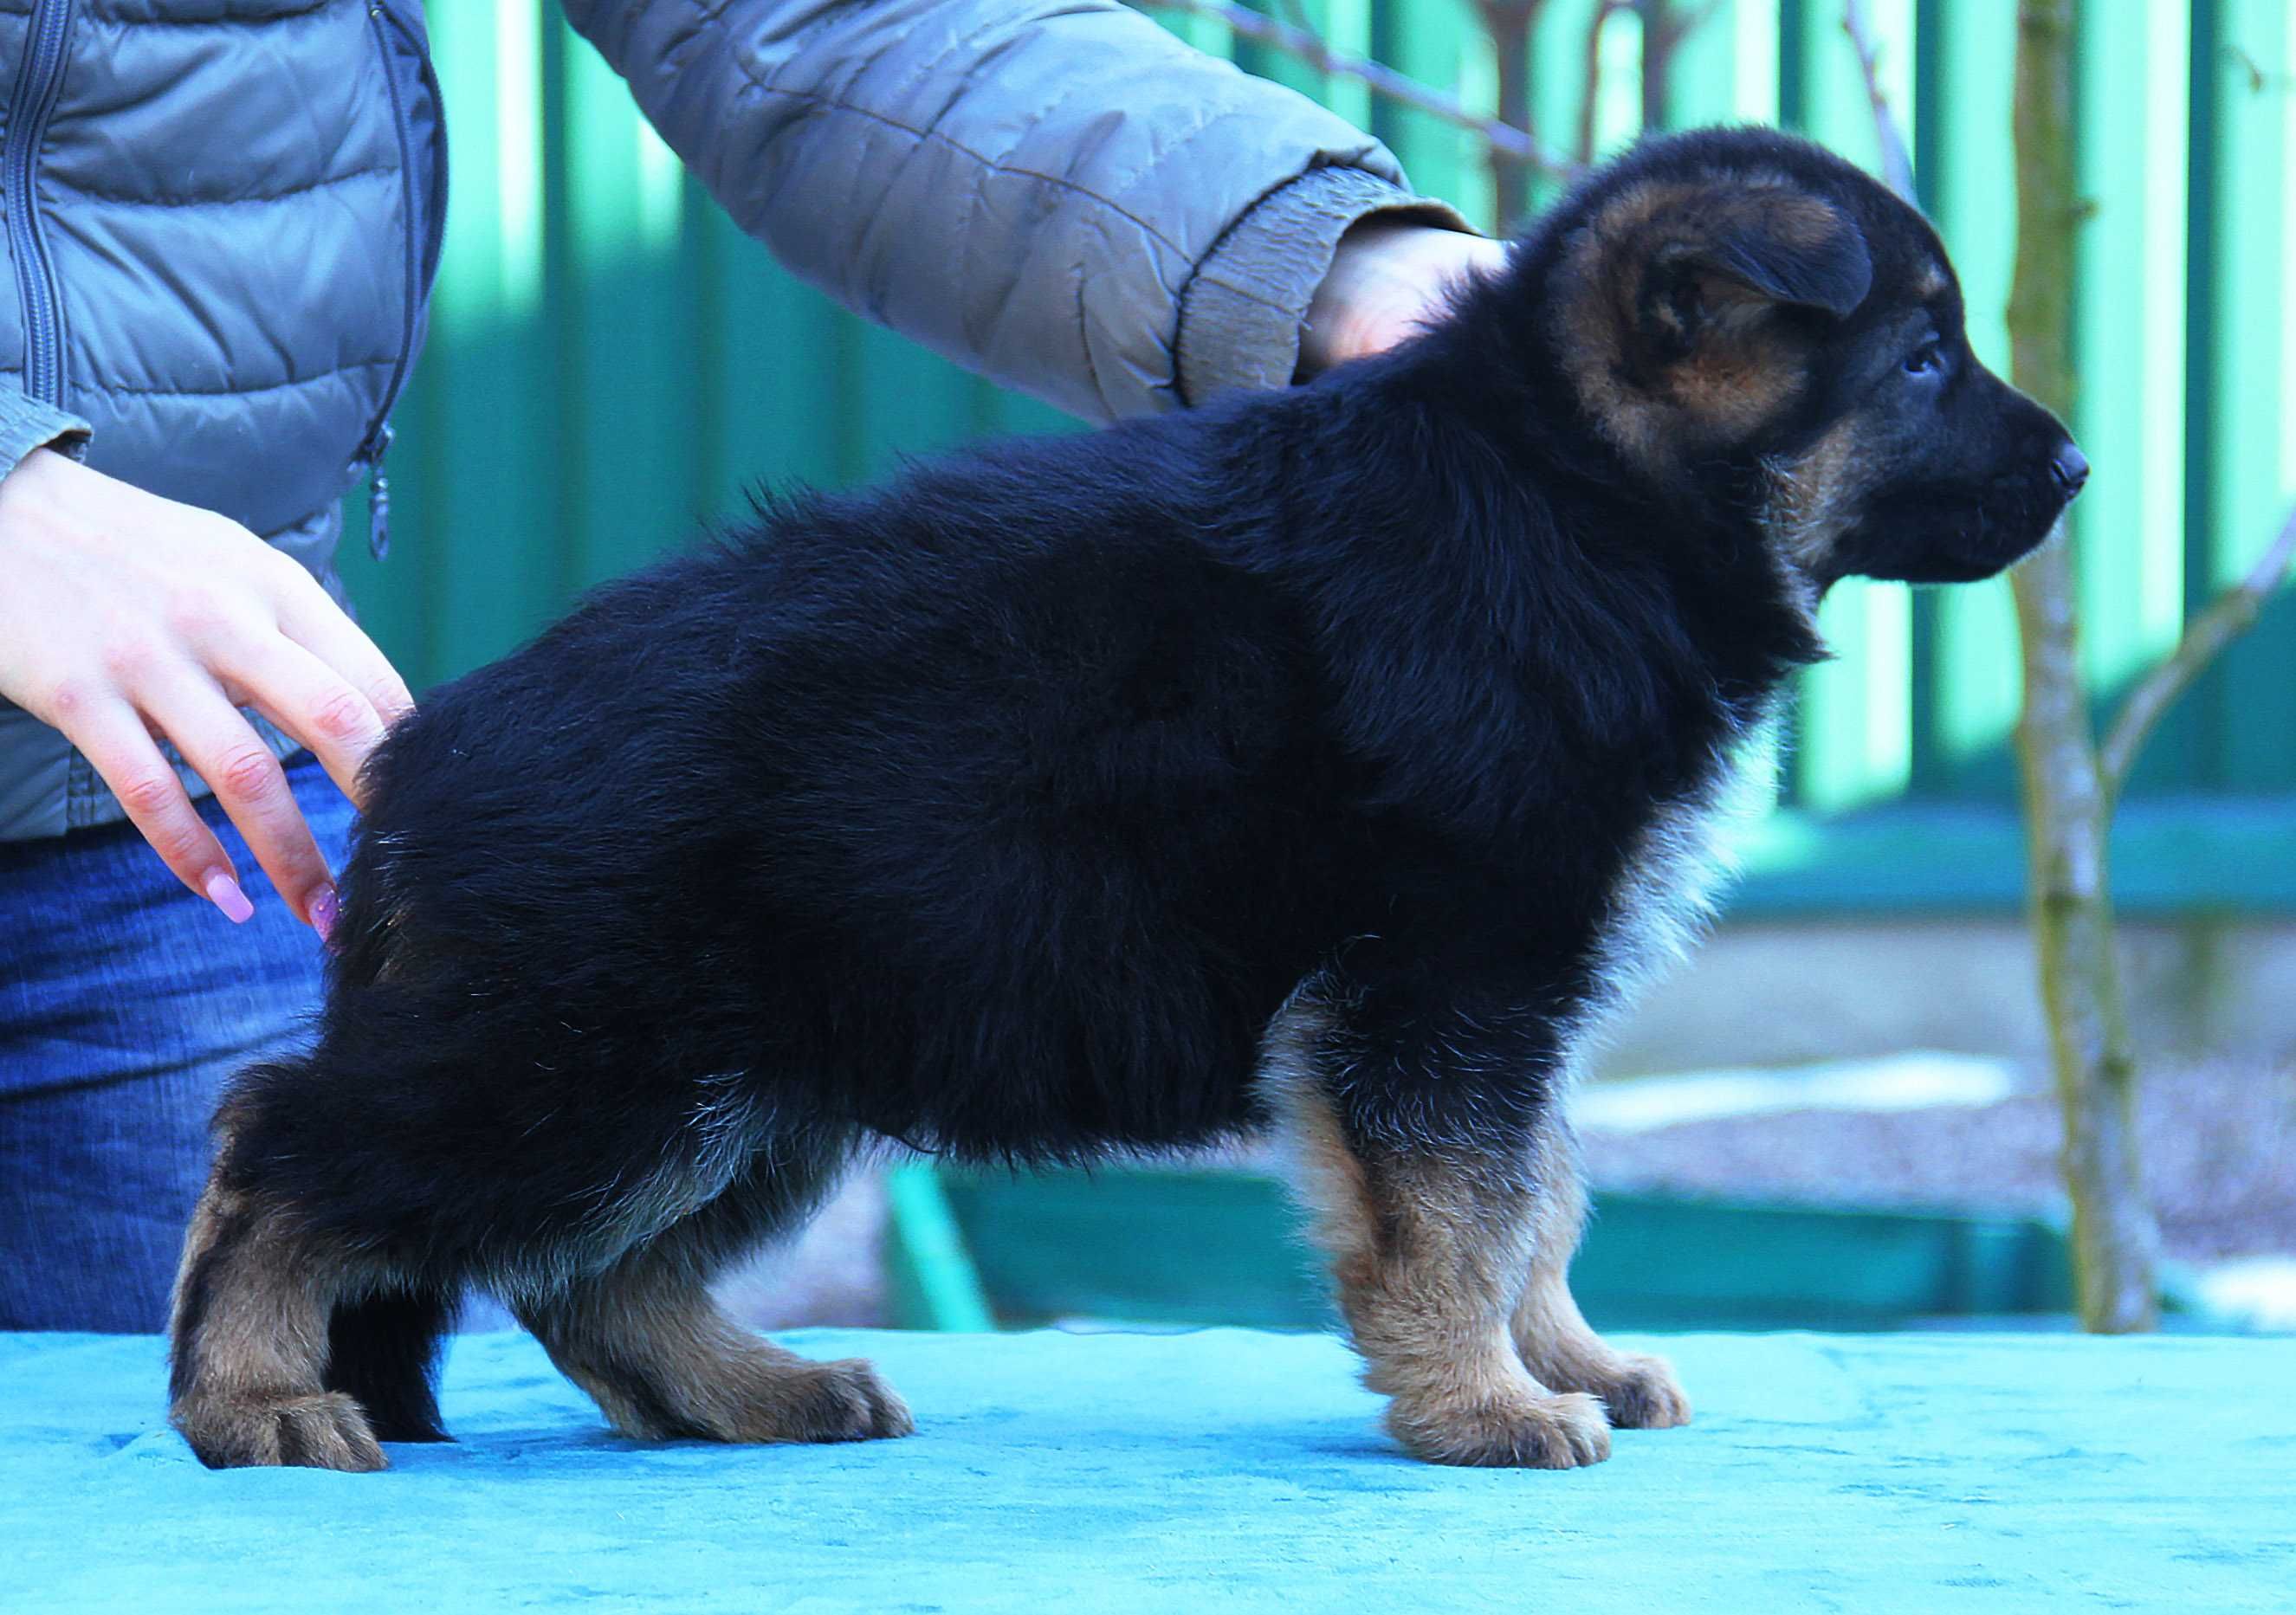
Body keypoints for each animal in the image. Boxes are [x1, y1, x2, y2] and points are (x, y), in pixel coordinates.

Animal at [170, 132, 2093, 1468]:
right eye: (1922, 363)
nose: (2079, 465)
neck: (1576, 495)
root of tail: (425, 751)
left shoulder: (1492, 991)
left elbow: (1538, 1189)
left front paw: (1563, 1356)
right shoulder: (1440, 978)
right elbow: (1464, 1207)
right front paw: (1480, 1399)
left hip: (744, 1080)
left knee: (592, 1275)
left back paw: (752, 1388)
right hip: (582, 1060)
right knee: (282, 1145)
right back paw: (250, 1394)